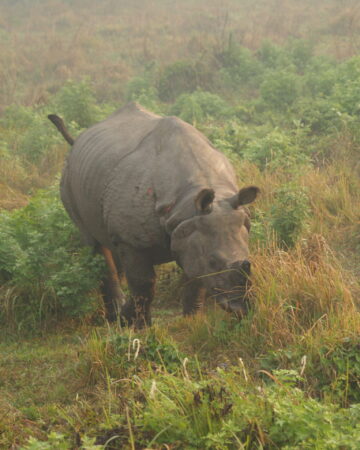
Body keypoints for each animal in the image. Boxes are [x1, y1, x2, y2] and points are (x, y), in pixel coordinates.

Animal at [49, 102, 260, 326]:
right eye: (213, 262)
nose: (242, 308)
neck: (186, 203)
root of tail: (77, 142)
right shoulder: (130, 240)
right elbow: (144, 282)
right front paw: (136, 325)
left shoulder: (190, 229)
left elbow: (196, 277)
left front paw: (191, 320)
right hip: (68, 179)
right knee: (94, 243)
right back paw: (115, 316)